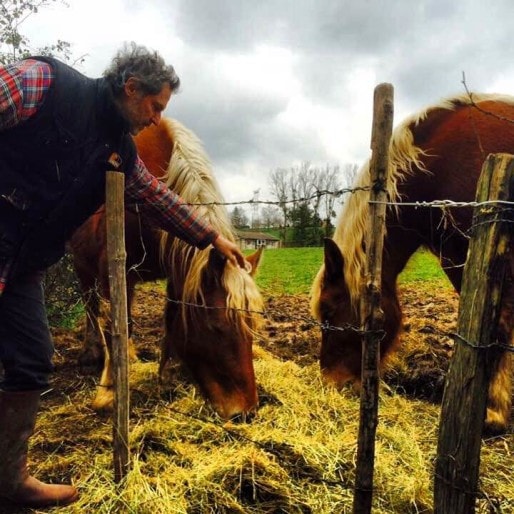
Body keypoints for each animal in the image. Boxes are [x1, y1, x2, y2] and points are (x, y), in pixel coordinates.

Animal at [69, 118, 262, 418]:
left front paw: (167, 374)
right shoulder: (112, 271)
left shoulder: (177, 270)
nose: (245, 411)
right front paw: (108, 392)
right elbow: (116, 326)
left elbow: (169, 317)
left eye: (252, 325)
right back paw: (91, 354)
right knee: (92, 307)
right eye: (216, 327)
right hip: (83, 266)